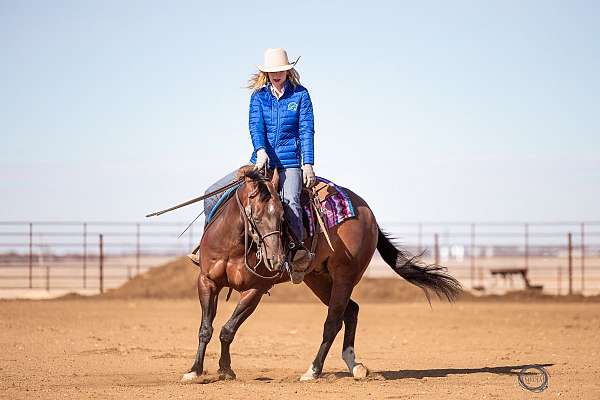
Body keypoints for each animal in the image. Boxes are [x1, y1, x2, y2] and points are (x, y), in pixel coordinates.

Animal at [180, 165, 462, 382]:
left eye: (283, 216)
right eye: (256, 217)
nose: (275, 259)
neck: (234, 244)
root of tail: (367, 213)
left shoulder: (256, 290)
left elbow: (227, 329)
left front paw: (225, 369)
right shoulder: (207, 281)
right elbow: (205, 328)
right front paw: (195, 371)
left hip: (344, 277)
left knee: (333, 322)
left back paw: (313, 371)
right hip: (318, 279)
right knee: (351, 311)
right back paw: (354, 365)